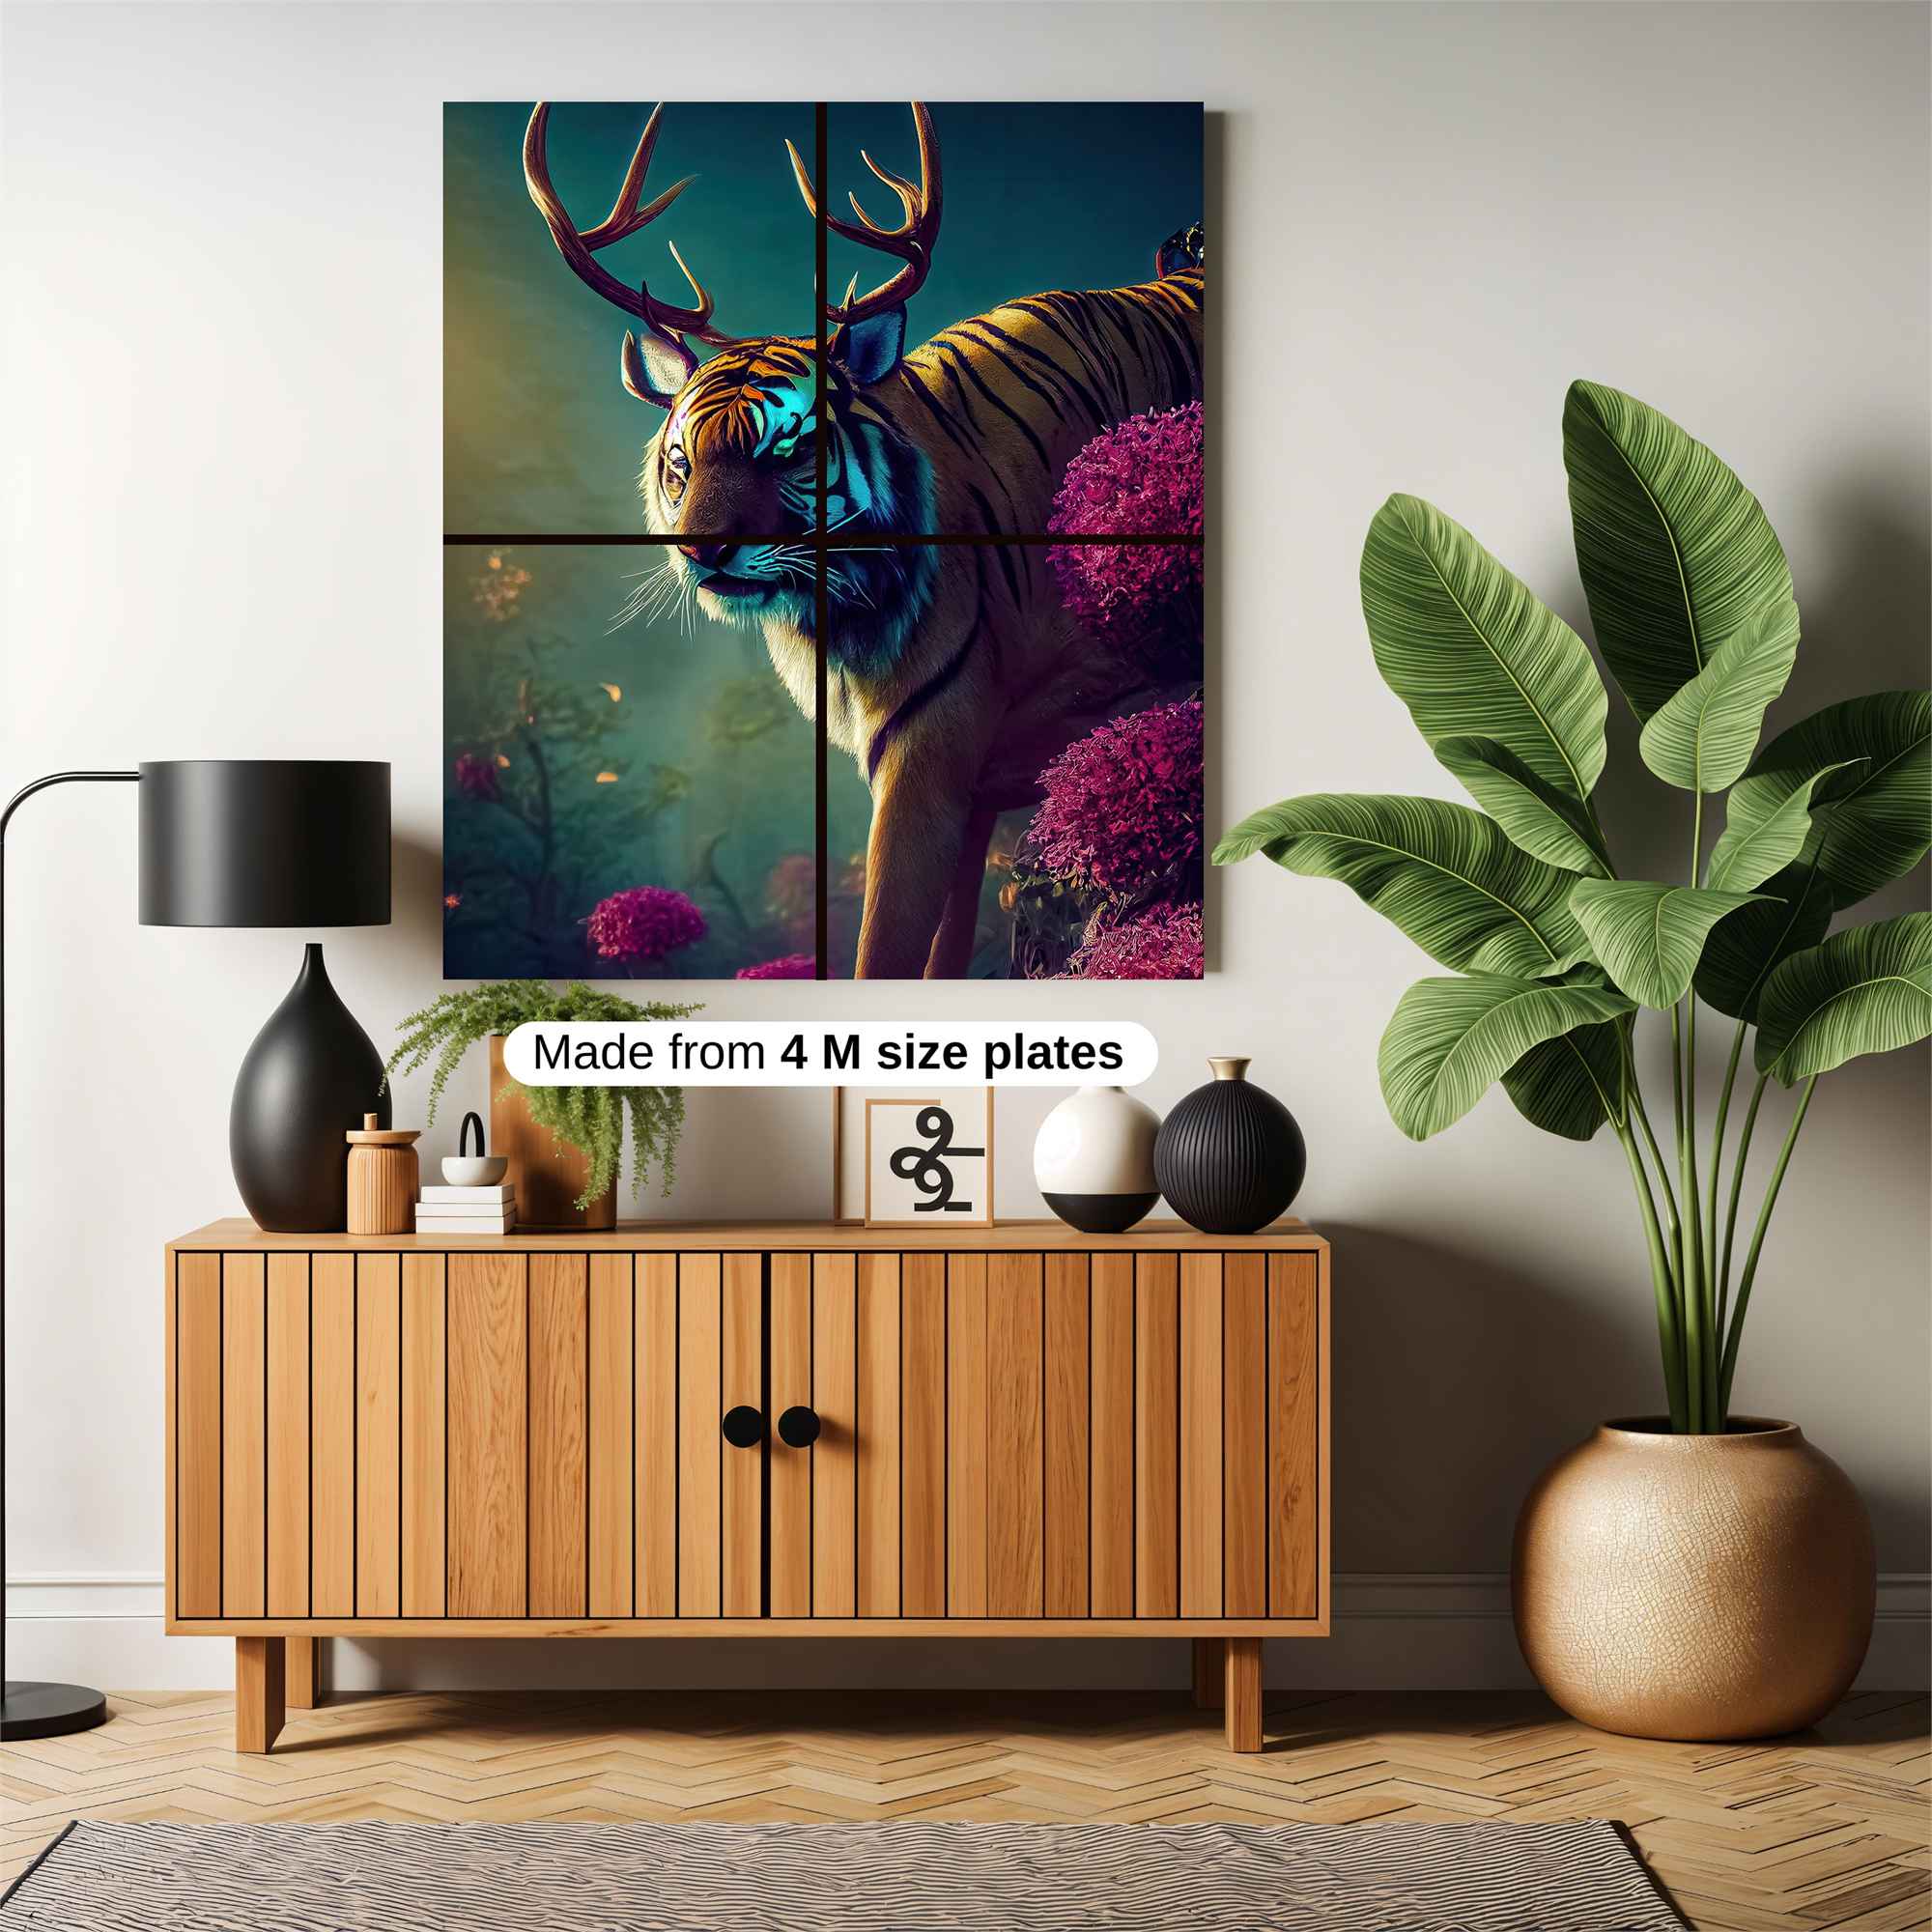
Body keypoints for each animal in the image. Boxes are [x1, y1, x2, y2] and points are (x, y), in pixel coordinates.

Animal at [525, 101, 1203, 977]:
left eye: (790, 448)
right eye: (682, 462)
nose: (703, 553)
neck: (840, 622)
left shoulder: (929, 764)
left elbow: (884, 947)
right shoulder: (966, 780)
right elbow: (945, 950)